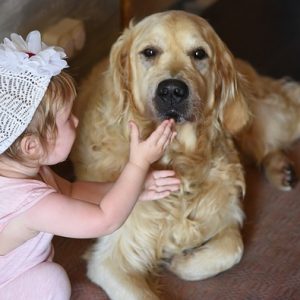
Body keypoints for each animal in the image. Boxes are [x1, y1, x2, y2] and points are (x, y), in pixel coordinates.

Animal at [72, 9, 300, 300]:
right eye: (149, 52)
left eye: (199, 54)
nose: (172, 90)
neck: (178, 159)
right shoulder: (110, 259)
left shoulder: (226, 214)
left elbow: (233, 248)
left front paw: (182, 261)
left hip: (251, 114)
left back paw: (280, 168)